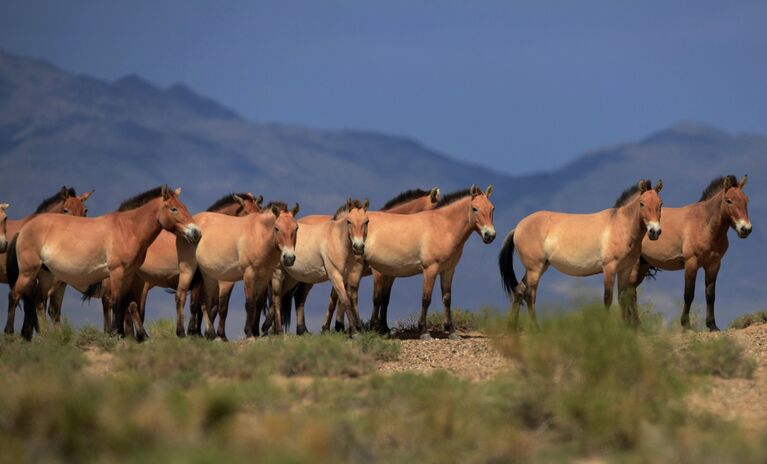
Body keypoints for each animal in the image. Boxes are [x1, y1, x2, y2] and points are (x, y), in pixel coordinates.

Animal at [6, 185, 198, 340]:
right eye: (174, 209)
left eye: (185, 208)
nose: (196, 232)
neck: (128, 229)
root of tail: (24, 229)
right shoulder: (116, 272)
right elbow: (116, 302)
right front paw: (115, 334)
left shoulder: (129, 275)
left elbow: (127, 303)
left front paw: (126, 334)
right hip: (28, 273)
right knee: (15, 296)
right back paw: (10, 333)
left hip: (46, 275)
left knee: (39, 302)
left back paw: (47, 336)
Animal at [266, 198, 370, 336]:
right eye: (349, 221)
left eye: (366, 221)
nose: (358, 247)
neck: (336, 239)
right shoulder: (335, 275)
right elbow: (345, 300)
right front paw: (355, 332)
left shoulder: (345, 276)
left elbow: (339, 300)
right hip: (278, 274)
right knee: (277, 299)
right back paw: (279, 331)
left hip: (292, 278)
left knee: (292, 297)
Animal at [344, 186, 496, 340]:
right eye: (475, 209)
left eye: (492, 208)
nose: (490, 235)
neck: (443, 227)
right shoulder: (430, 269)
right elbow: (425, 299)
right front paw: (424, 331)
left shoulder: (448, 270)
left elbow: (447, 299)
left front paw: (452, 331)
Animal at [500, 179, 664, 328]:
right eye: (642, 203)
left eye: (660, 204)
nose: (654, 232)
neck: (620, 226)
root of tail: (518, 227)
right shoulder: (609, 268)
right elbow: (608, 298)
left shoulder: (625, 269)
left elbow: (623, 298)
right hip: (535, 269)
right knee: (530, 295)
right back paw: (536, 328)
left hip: (538, 268)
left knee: (520, 290)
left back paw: (512, 326)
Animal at [632, 174, 752, 330]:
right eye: (729, 201)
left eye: (746, 200)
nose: (746, 229)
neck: (704, 226)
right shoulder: (691, 264)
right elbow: (689, 294)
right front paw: (686, 324)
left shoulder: (713, 265)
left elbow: (710, 295)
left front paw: (712, 325)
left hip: (643, 265)